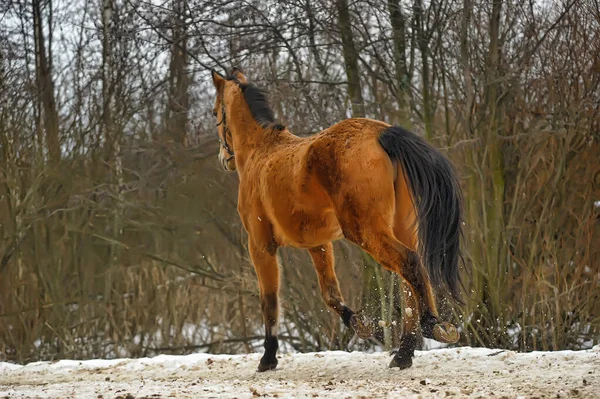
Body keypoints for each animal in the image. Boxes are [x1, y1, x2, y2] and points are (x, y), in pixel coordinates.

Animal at [211, 68, 464, 372]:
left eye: (215, 112)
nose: (223, 158)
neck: (260, 152)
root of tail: (380, 133)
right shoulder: (317, 244)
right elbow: (330, 293)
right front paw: (360, 323)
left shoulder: (261, 247)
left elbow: (269, 302)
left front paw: (268, 358)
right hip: (400, 228)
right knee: (409, 284)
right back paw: (404, 353)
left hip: (366, 232)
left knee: (410, 263)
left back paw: (431, 325)